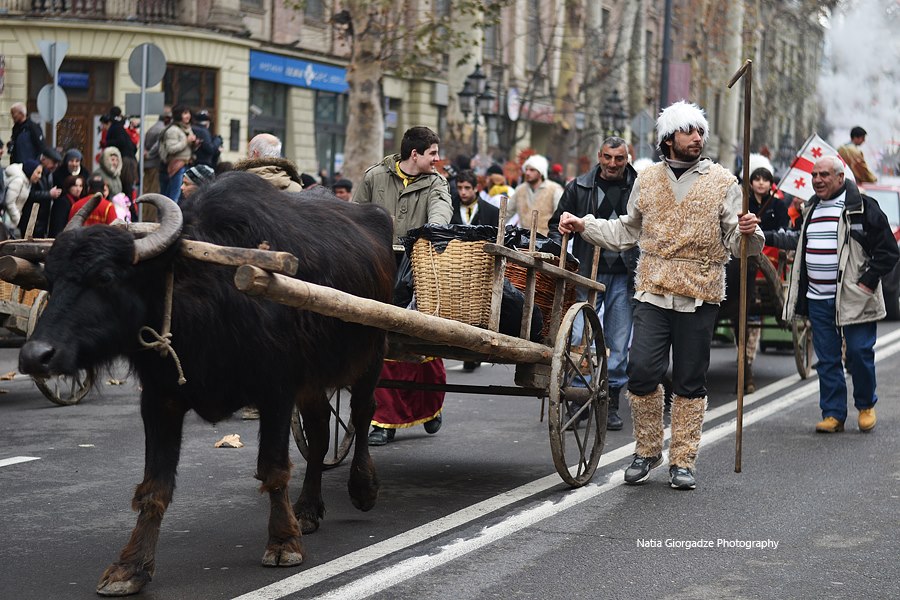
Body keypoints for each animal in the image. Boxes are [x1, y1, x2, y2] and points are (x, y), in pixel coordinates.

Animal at [17, 171, 396, 596]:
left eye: (105, 277)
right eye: (50, 279)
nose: (35, 355)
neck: (208, 297)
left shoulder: (277, 391)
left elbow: (273, 469)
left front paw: (283, 543)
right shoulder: (161, 399)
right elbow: (154, 487)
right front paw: (129, 567)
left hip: (372, 352)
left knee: (362, 414)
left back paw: (363, 488)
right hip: (315, 379)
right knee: (318, 432)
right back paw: (308, 510)